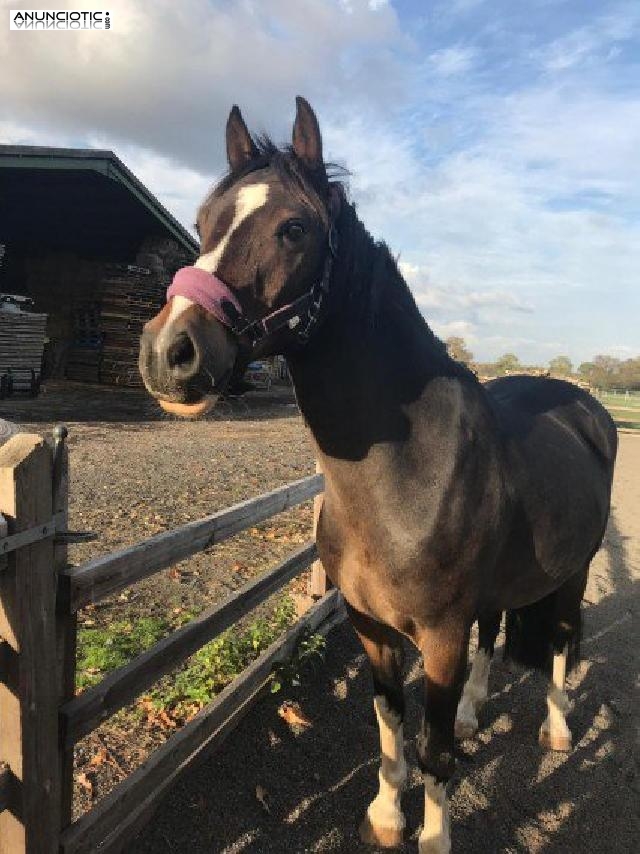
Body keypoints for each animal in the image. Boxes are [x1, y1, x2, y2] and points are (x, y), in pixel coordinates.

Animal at [139, 98, 617, 853]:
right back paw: (480, 712)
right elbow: (391, 734)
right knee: (496, 634)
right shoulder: (373, 628)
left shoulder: (441, 639)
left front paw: (435, 836)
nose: (169, 353)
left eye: (295, 228)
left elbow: (434, 750)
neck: (406, 478)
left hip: (574, 570)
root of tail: (585, 406)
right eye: (203, 220)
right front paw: (389, 816)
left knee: (564, 641)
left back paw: (559, 727)